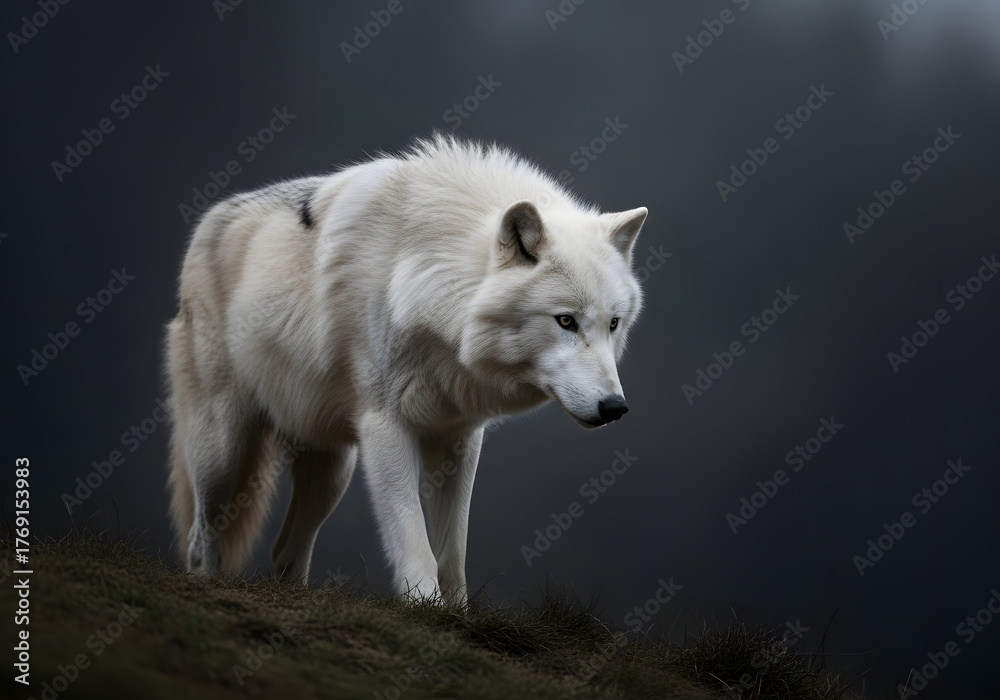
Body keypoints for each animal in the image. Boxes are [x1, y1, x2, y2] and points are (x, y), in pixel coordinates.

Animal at [166, 134, 647, 604]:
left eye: (613, 323)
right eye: (565, 321)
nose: (615, 408)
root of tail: (209, 219)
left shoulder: (459, 438)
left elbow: (453, 551)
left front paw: (456, 614)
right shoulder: (386, 428)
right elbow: (414, 539)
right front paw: (425, 606)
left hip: (332, 467)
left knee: (285, 551)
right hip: (222, 449)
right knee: (200, 540)